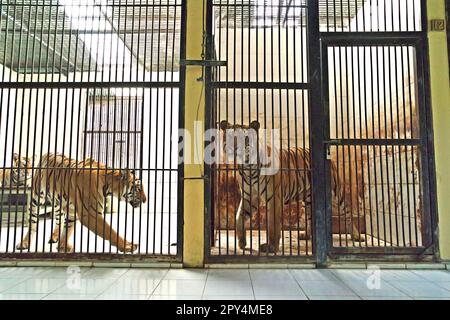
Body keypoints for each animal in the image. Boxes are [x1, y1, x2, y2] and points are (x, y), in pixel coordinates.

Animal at [16, 152, 147, 252]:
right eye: (138, 188)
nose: (145, 200)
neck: (108, 187)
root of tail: (47, 153)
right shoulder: (90, 213)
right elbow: (111, 232)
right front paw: (128, 246)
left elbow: (68, 229)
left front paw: (62, 246)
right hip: (36, 199)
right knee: (32, 223)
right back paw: (24, 243)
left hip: (64, 206)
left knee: (61, 220)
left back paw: (59, 241)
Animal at [219, 119, 366, 252]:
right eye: (230, 137)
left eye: (245, 138)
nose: (235, 148)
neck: (247, 168)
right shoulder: (250, 197)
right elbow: (239, 218)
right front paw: (242, 242)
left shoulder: (273, 198)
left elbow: (272, 225)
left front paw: (271, 247)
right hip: (307, 199)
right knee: (311, 216)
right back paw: (306, 235)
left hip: (335, 193)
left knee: (347, 212)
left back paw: (356, 236)